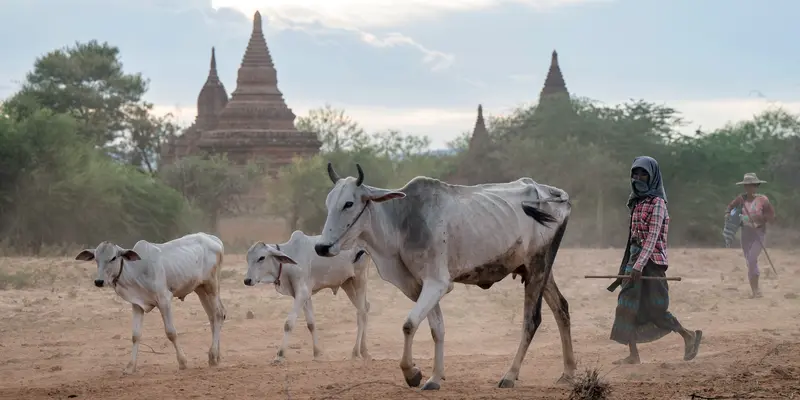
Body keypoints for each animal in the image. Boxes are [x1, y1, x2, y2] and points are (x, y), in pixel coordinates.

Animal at [75, 233, 227, 374]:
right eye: (96, 259)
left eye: (113, 258)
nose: (99, 281)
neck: (136, 269)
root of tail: (214, 239)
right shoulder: (137, 305)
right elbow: (135, 336)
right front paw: (130, 367)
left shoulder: (164, 300)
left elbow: (171, 332)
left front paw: (183, 362)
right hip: (200, 289)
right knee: (212, 317)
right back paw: (216, 357)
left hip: (212, 285)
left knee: (219, 314)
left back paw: (213, 355)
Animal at [244, 228, 372, 362]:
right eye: (247, 258)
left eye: (261, 258)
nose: (247, 280)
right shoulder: (305, 296)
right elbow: (311, 324)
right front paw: (317, 353)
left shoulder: (302, 293)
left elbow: (288, 324)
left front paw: (280, 355)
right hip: (347, 283)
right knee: (365, 307)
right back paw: (364, 351)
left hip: (360, 279)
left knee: (362, 312)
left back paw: (356, 351)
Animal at [312, 162, 576, 390]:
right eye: (328, 203)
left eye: (348, 203)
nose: (322, 247)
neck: (402, 221)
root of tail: (554, 193)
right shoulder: (420, 286)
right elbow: (436, 329)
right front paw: (434, 378)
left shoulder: (437, 283)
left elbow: (409, 324)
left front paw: (412, 373)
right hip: (540, 272)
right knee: (561, 309)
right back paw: (568, 373)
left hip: (537, 267)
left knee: (531, 320)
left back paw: (510, 375)